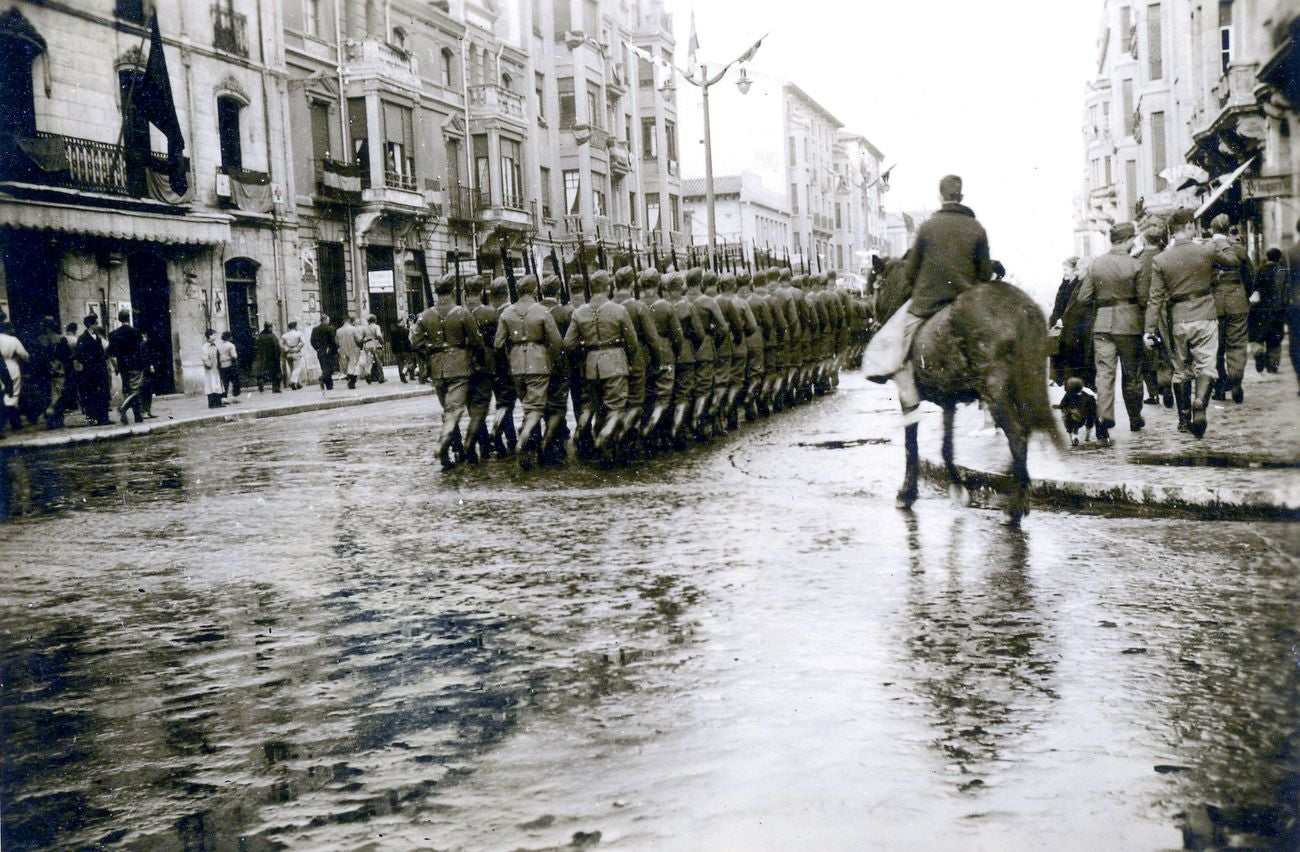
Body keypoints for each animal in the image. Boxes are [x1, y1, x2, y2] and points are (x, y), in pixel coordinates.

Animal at [868, 254, 1060, 520]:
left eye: (875, 287)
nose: (873, 324)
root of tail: (1023, 309)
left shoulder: (908, 396)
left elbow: (911, 444)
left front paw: (907, 493)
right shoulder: (948, 400)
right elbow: (946, 447)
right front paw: (957, 486)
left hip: (996, 392)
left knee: (1018, 436)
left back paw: (1015, 505)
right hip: (1023, 386)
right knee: (1027, 429)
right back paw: (1013, 479)